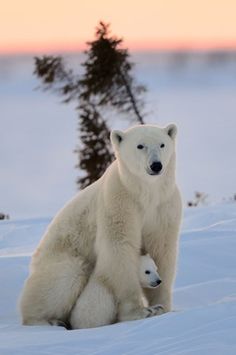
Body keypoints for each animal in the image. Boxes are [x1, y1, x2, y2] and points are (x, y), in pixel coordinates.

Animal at [20, 124, 183, 326]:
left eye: (162, 144)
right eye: (140, 146)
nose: (156, 165)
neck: (145, 193)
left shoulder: (164, 207)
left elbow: (162, 249)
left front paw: (162, 306)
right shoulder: (119, 201)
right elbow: (119, 248)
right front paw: (141, 311)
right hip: (58, 256)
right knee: (66, 276)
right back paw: (48, 321)